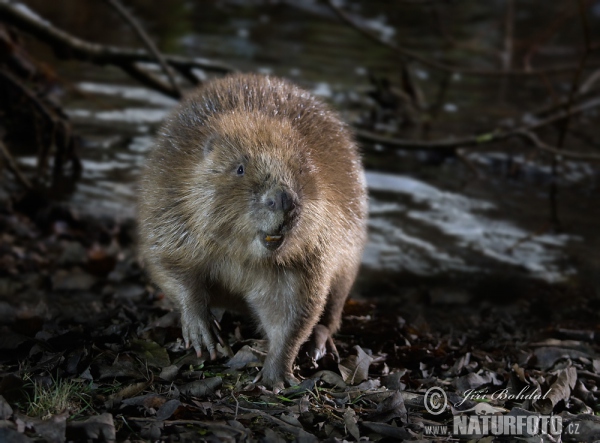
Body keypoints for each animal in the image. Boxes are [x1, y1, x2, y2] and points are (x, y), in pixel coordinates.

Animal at [138, 73, 368, 392]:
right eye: (240, 168)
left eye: (301, 170)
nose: (283, 199)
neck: (244, 253)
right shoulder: (169, 203)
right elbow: (168, 264)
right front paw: (203, 333)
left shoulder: (313, 248)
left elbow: (298, 308)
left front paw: (276, 375)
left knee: (332, 309)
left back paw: (319, 345)